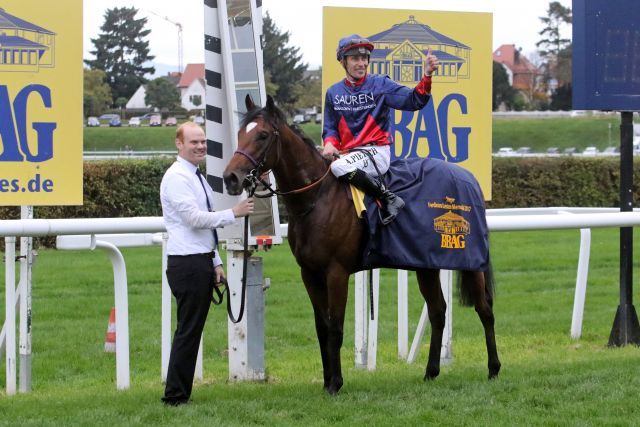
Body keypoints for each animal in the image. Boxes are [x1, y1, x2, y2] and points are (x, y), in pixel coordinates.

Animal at [224, 95, 500, 396]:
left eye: (262, 135)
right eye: (240, 134)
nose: (231, 177)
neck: (316, 198)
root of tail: (469, 178)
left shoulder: (336, 272)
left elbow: (335, 327)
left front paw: (336, 383)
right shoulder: (310, 274)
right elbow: (322, 327)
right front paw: (326, 380)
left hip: (470, 261)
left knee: (484, 309)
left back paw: (493, 368)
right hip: (426, 265)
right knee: (438, 311)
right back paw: (431, 372)